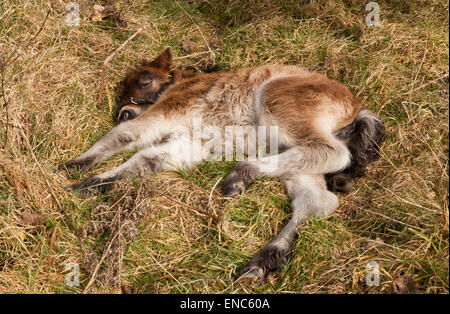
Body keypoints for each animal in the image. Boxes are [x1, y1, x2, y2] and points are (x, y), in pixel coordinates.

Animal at [65, 48, 384, 282]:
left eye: (144, 80)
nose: (124, 111)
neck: (181, 84)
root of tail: (356, 109)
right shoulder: (192, 141)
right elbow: (147, 159)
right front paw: (92, 185)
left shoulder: (169, 113)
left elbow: (126, 136)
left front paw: (76, 168)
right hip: (294, 158)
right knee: (317, 200)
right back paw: (262, 262)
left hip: (279, 104)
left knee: (334, 154)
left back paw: (240, 175)